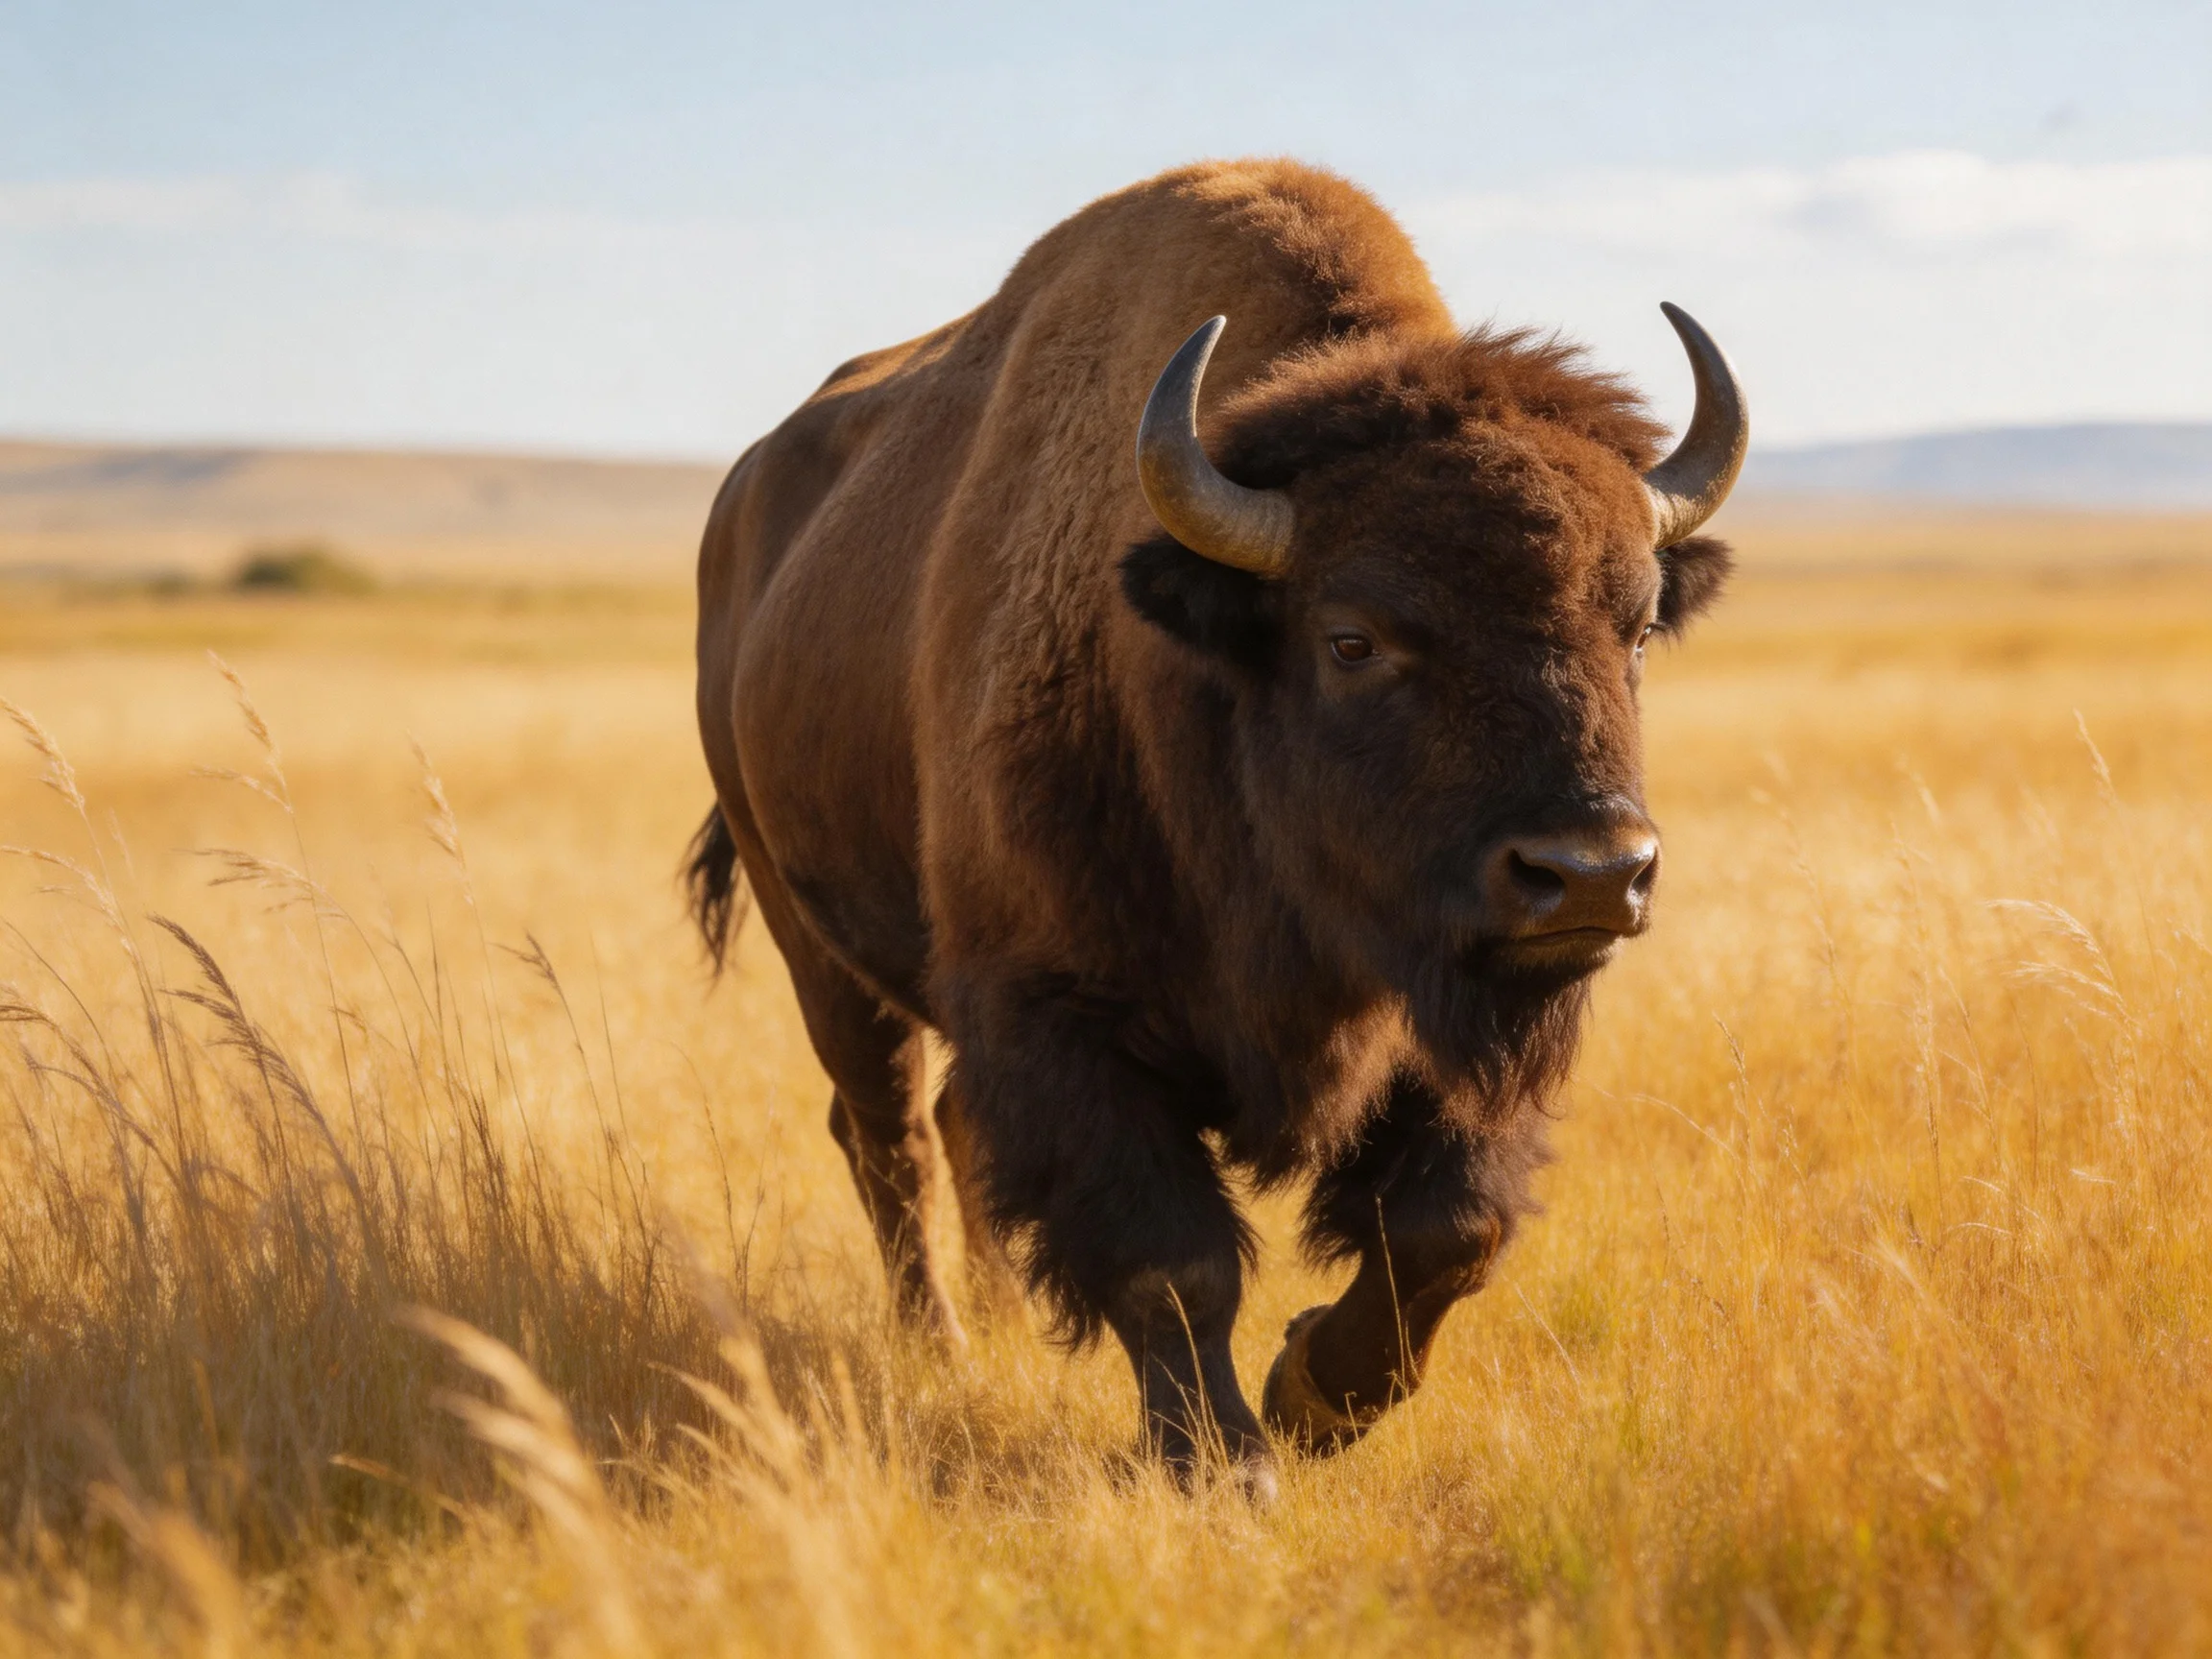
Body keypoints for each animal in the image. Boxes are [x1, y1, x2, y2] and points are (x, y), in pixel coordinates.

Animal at [689, 159, 1745, 1493]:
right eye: (1351, 639)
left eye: (1640, 625)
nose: (1594, 874)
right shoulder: (1060, 1013)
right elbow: (1171, 1260)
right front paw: (1224, 1462)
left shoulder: (1454, 1008)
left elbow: (1448, 1228)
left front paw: (1314, 1397)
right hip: (813, 938)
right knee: (890, 1137)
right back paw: (940, 1348)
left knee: (951, 1130)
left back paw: (998, 1321)